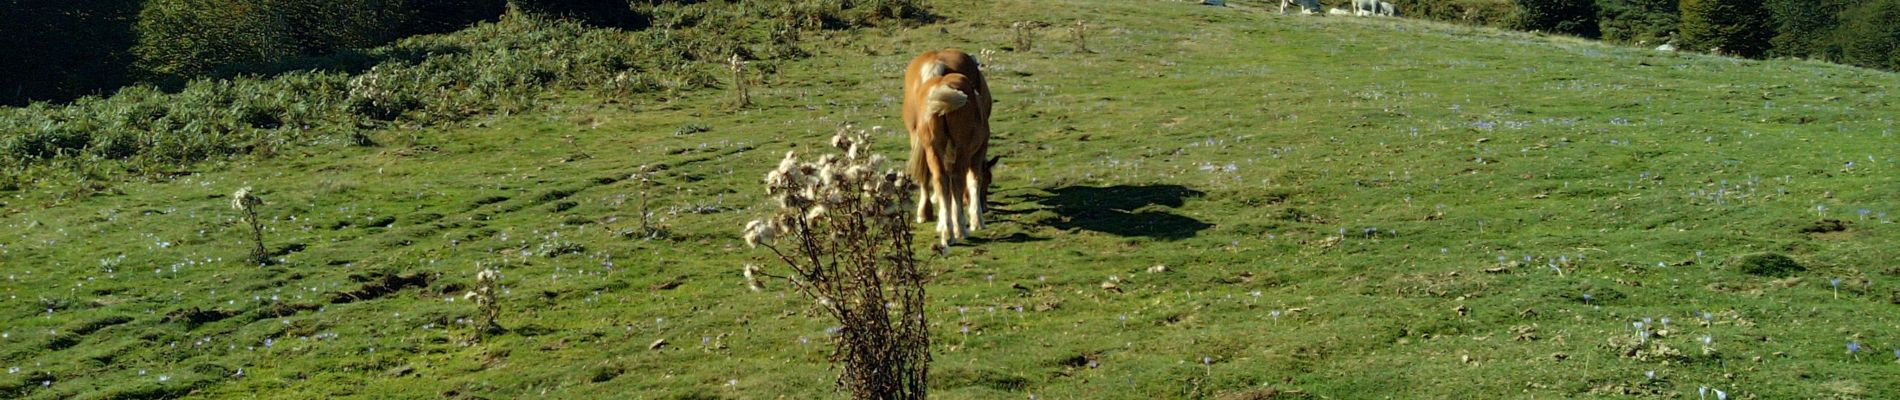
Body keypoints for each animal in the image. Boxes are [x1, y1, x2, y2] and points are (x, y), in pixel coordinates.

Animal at [900, 48, 995, 248]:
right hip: (962, 149)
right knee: (957, 179)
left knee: (937, 178)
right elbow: (973, 180)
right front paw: (977, 220)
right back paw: (959, 229)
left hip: (927, 144)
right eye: (989, 180)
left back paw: (941, 227)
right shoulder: (977, 151)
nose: (985, 206)